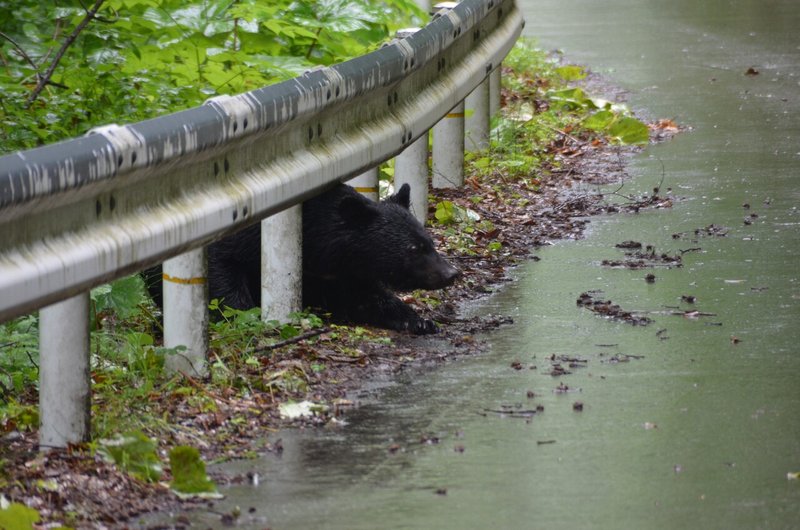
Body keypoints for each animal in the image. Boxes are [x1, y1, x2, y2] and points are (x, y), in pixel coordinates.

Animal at [146, 182, 460, 330]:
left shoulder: (343, 272)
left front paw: (418, 321)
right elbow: (223, 271)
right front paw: (245, 317)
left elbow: (369, 297)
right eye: (413, 249)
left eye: (428, 242)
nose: (451, 273)